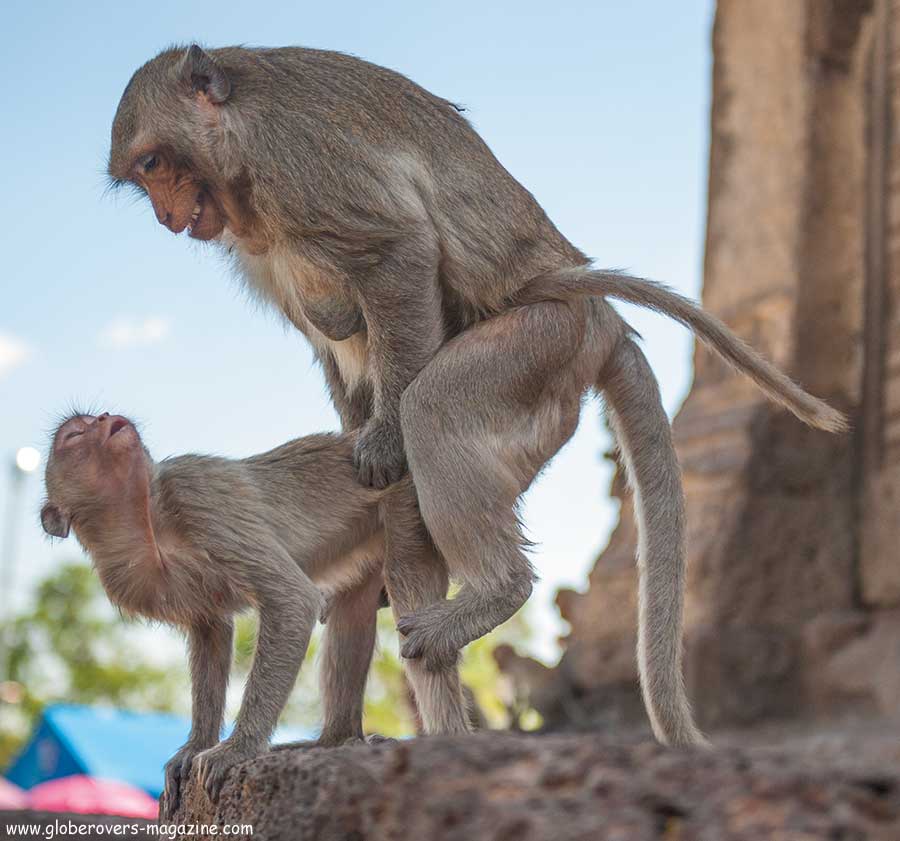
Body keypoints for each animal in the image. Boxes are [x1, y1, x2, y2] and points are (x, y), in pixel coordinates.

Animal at [37, 410, 468, 816]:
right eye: (76, 434)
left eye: (92, 421)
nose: (107, 418)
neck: (147, 524)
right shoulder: (129, 580)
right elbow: (210, 630)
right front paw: (195, 745)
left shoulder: (196, 491)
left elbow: (292, 599)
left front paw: (237, 748)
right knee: (353, 606)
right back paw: (338, 739)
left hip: (409, 495)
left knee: (406, 583)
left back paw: (446, 740)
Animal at [109, 44, 848, 748]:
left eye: (155, 162)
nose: (169, 215)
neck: (238, 142)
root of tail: (604, 322)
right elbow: (331, 343)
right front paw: (353, 445)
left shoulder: (298, 163)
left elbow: (399, 252)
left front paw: (381, 440)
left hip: (541, 345)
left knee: (433, 407)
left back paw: (493, 587)